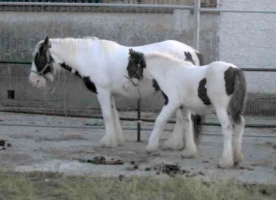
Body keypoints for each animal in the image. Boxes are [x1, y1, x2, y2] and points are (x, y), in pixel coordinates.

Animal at [29, 36, 203, 148]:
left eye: (38, 56)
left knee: (181, 118)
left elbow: (106, 115)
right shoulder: (109, 93)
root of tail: (191, 51)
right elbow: (114, 115)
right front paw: (117, 140)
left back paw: (173, 144)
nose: (33, 81)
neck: (90, 58)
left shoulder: (102, 91)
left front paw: (107, 142)